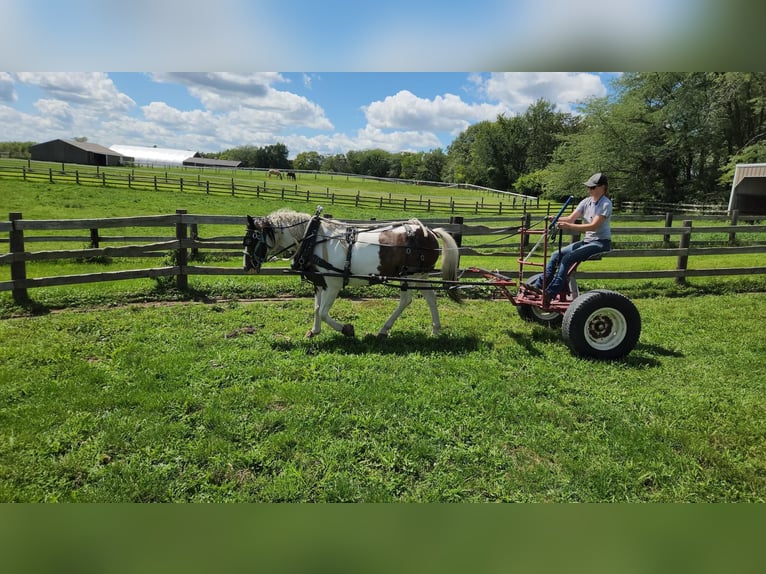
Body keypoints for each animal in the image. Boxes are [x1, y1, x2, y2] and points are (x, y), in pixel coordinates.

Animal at [244, 209, 462, 340]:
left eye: (251, 239)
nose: (247, 267)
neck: (312, 239)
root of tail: (430, 231)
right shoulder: (319, 283)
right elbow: (316, 309)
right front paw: (314, 331)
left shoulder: (333, 285)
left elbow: (323, 312)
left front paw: (347, 329)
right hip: (419, 276)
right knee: (429, 298)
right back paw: (434, 329)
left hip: (410, 275)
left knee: (407, 300)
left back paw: (385, 329)